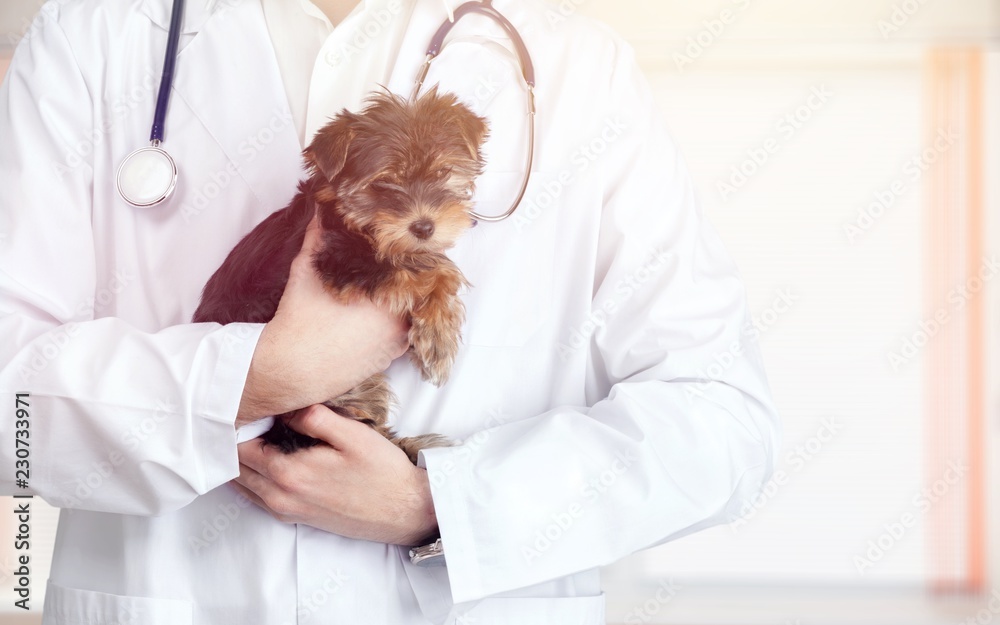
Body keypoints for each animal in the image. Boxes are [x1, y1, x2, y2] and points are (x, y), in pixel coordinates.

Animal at [191, 88, 488, 460]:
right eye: (383, 184)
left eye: (442, 173)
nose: (423, 227)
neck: (357, 222)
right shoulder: (341, 263)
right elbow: (430, 270)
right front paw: (439, 340)